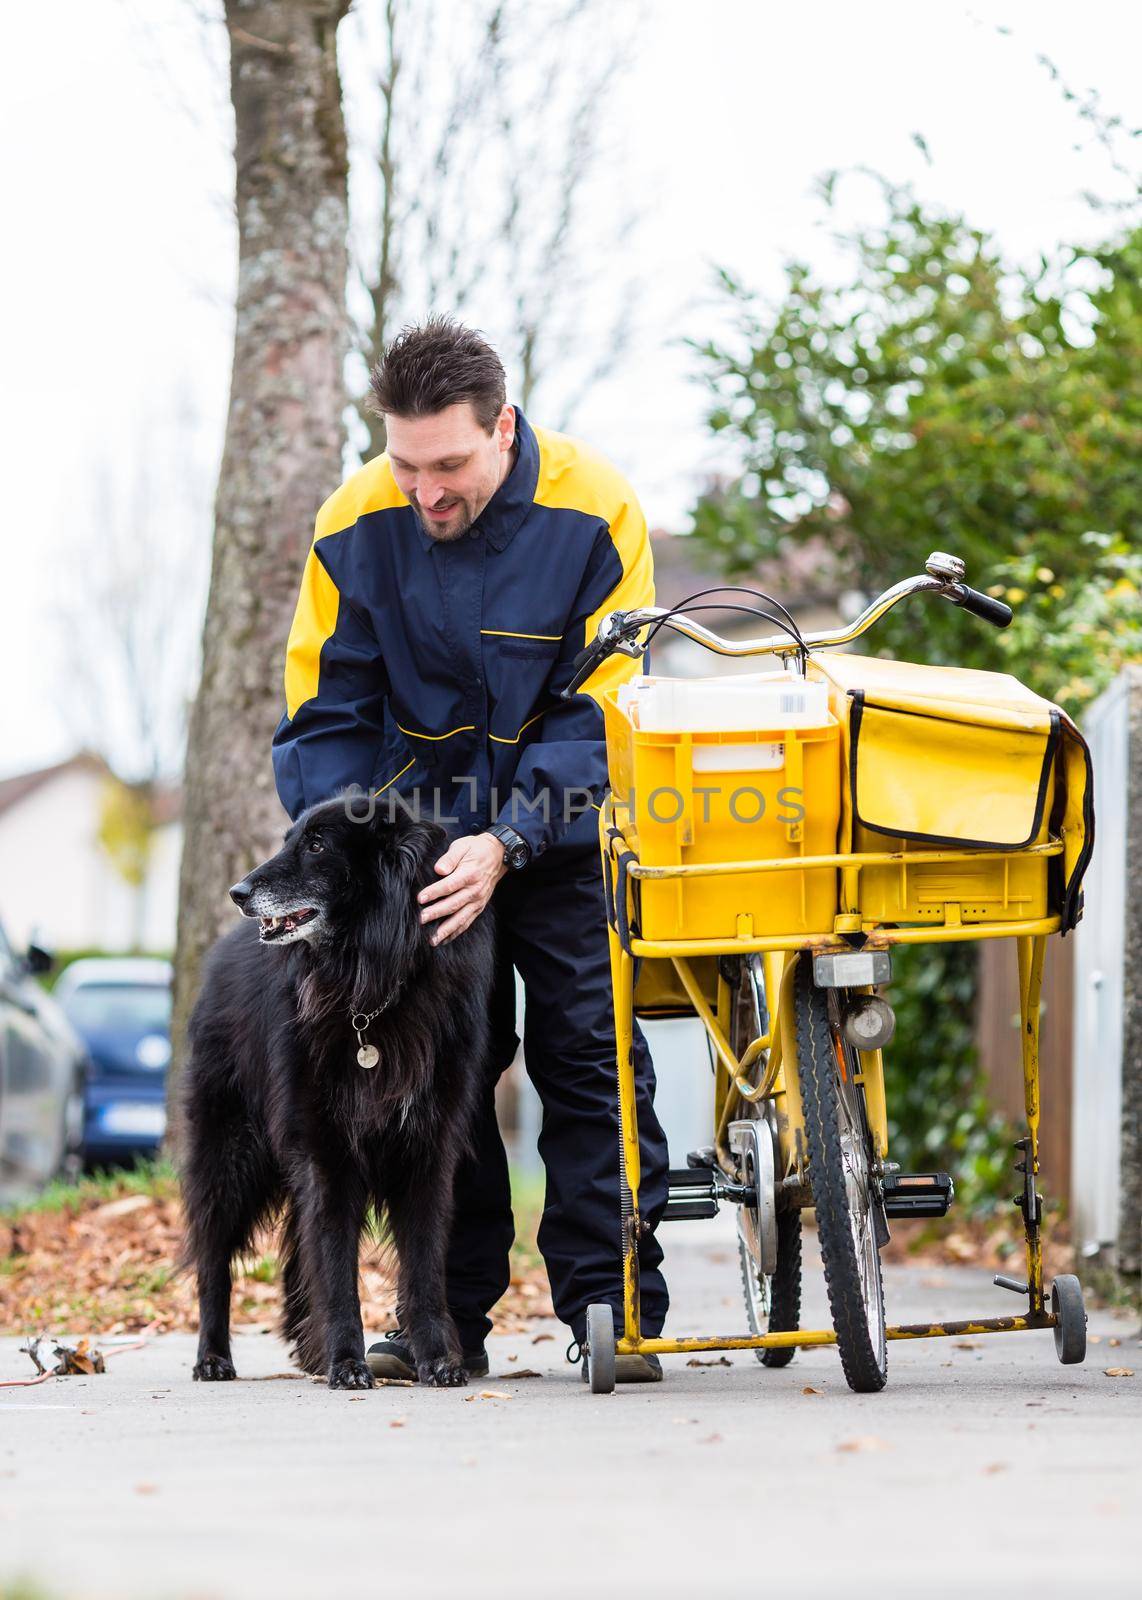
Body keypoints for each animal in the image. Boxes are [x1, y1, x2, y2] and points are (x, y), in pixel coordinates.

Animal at [179, 800, 492, 1388]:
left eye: (318, 846)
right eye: (290, 840)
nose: (237, 892)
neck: (369, 990)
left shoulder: (427, 1153)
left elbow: (423, 1267)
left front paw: (438, 1359)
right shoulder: (326, 1155)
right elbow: (337, 1269)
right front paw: (347, 1362)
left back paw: (308, 1350)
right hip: (230, 1155)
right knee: (213, 1261)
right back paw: (213, 1357)